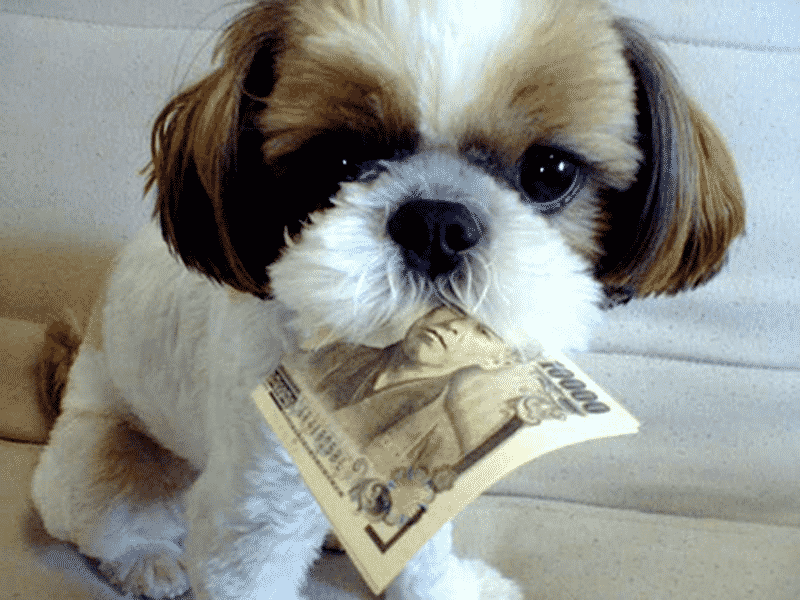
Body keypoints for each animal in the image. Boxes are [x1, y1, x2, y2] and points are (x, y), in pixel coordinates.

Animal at [31, 1, 745, 598]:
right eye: (341, 162)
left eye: (550, 172)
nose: (436, 222)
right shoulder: (255, 509)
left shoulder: (431, 480)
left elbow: (424, 553)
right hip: (104, 457)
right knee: (104, 519)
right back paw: (147, 559)